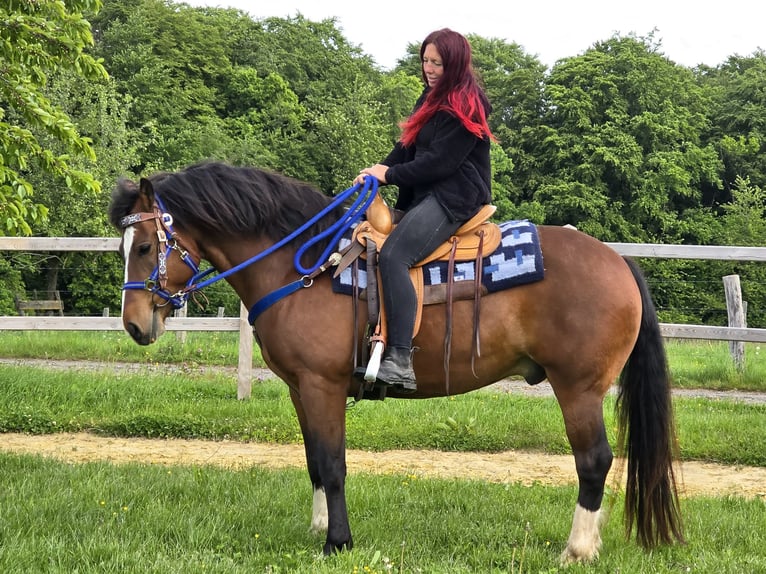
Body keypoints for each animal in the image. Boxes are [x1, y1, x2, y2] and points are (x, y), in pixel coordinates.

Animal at [109, 160, 684, 564]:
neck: (302, 268)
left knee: (595, 462)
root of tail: (618, 261)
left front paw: (338, 542)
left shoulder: (321, 385)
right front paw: (320, 529)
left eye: (144, 247)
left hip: (578, 389)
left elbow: (334, 464)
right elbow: (314, 461)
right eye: (125, 247)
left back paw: (577, 549)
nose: (135, 325)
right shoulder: (300, 388)